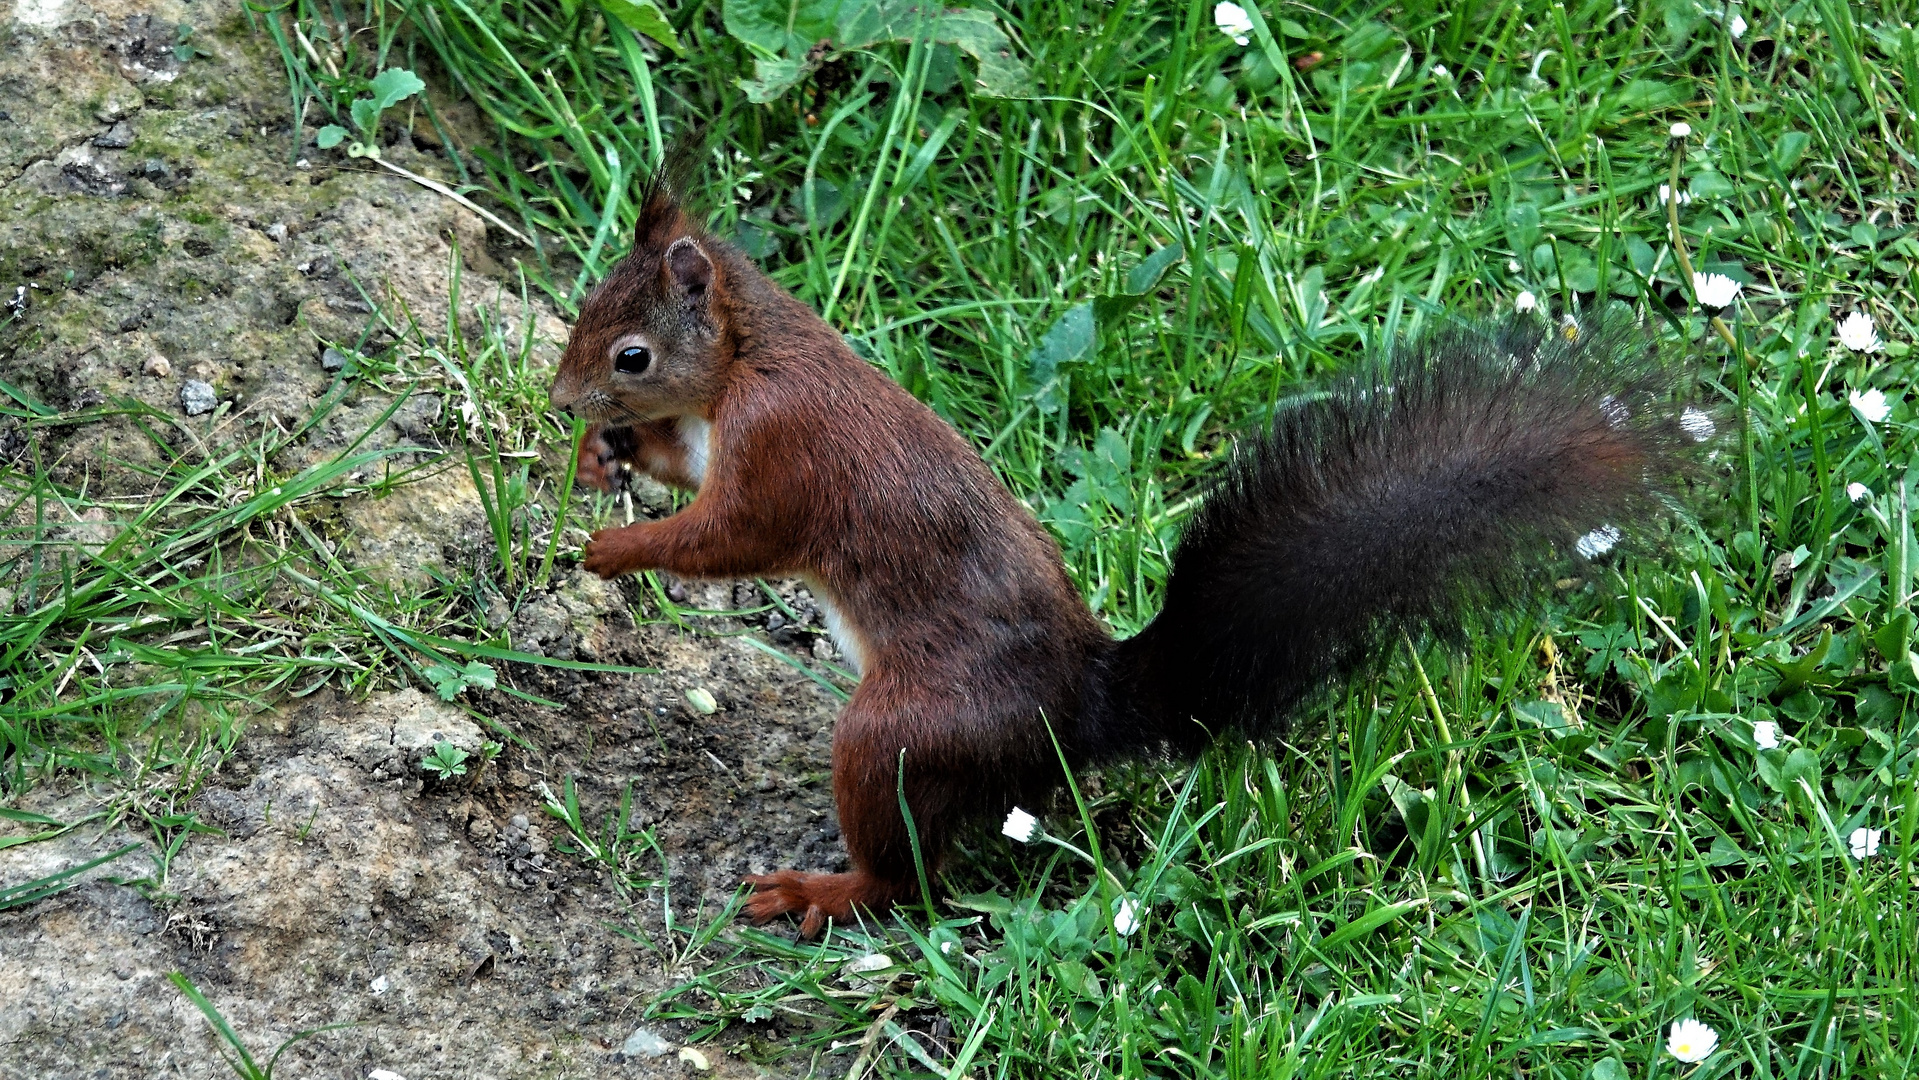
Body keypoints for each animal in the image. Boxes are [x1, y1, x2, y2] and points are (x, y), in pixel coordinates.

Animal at [548, 175, 1702, 936]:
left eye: (631, 353)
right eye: (583, 312)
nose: (562, 399)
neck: (748, 357)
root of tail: (1079, 708)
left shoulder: (784, 450)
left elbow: (731, 536)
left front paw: (614, 548)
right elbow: (683, 475)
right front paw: (606, 459)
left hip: (900, 734)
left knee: (904, 876)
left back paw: (819, 893)